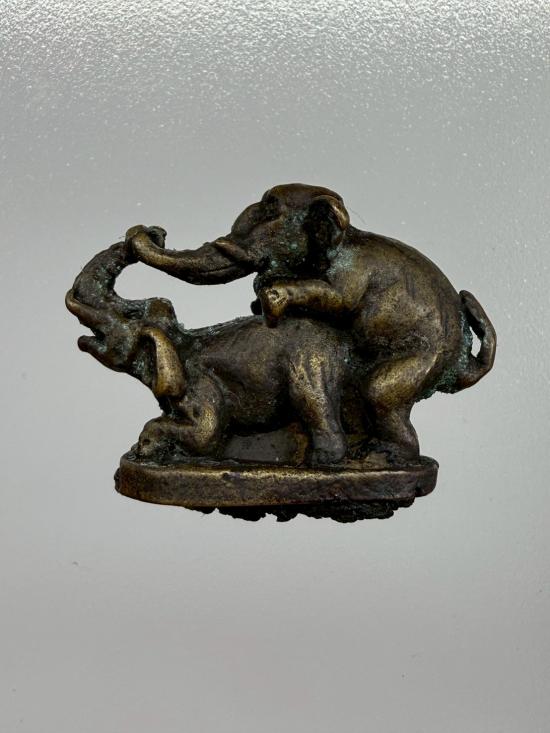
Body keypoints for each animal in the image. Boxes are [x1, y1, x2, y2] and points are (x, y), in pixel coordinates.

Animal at [66, 238, 354, 465]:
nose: (154, 232)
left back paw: (321, 461)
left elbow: (205, 434)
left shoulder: (199, 386)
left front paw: (145, 447)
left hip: (309, 363)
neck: (178, 340)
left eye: (126, 318)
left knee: (312, 400)